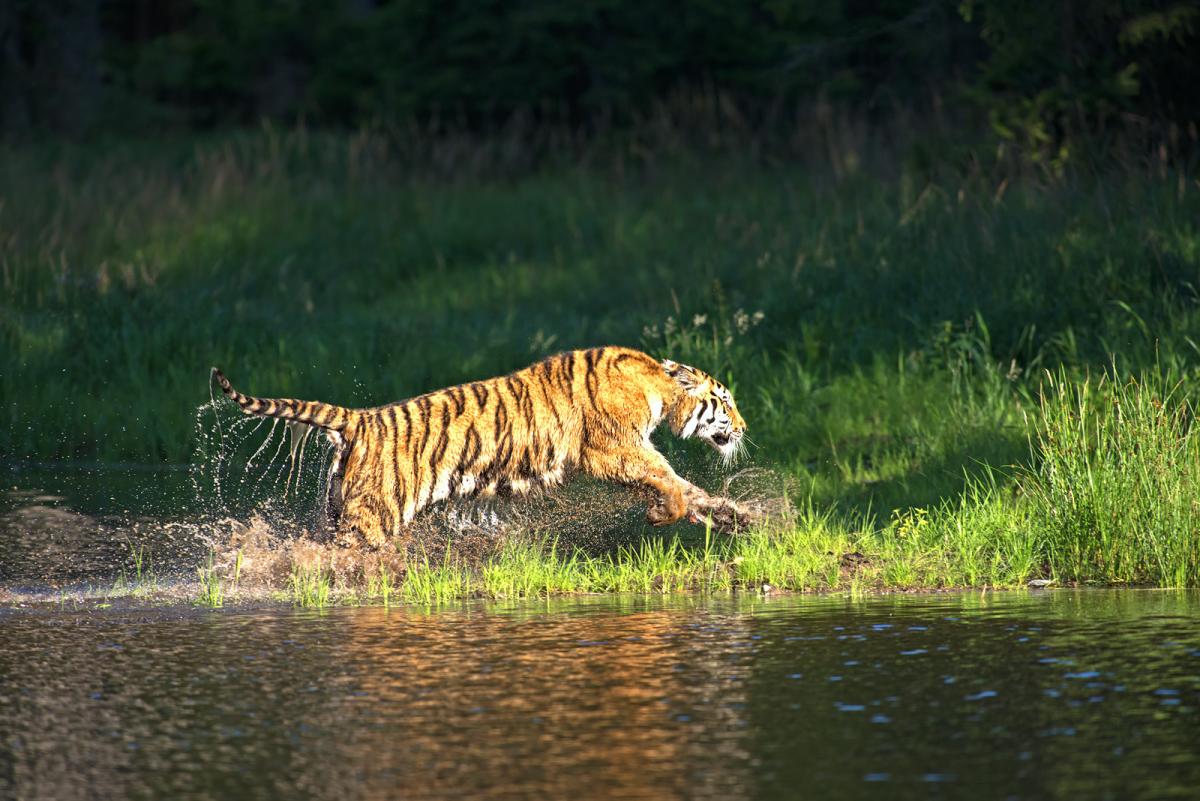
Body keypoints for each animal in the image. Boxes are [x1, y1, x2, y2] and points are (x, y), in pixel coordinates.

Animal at [210, 346, 746, 549]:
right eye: (724, 401)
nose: (743, 427)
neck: (658, 385)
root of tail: (359, 419)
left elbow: (689, 488)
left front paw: (739, 517)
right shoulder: (613, 450)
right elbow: (670, 481)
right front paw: (662, 514)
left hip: (338, 505)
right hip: (371, 517)